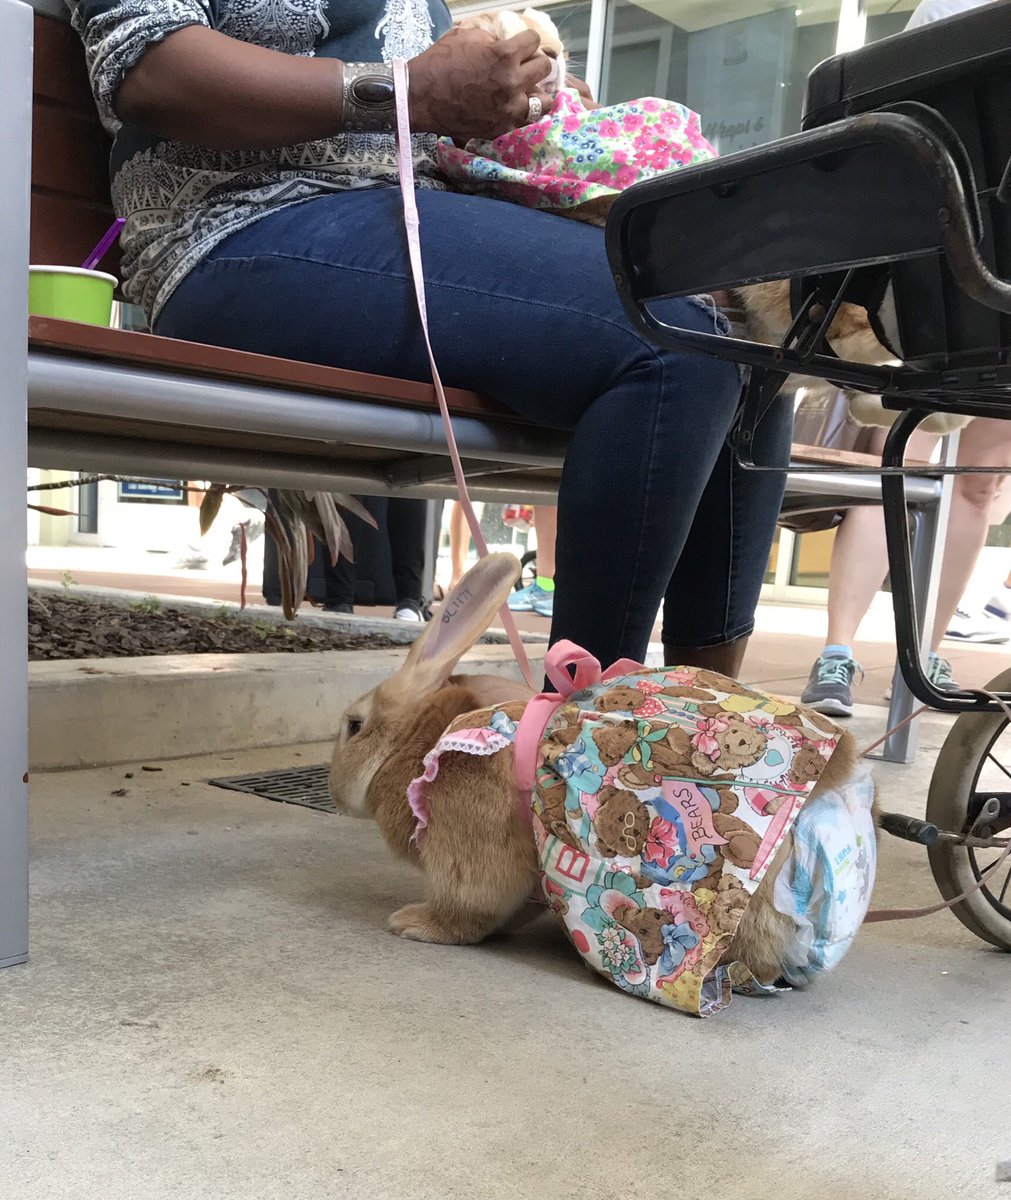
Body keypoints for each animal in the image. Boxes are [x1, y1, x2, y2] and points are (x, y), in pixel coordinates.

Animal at [329, 553, 872, 1003]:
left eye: (353, 726)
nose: (334, 794)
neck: (420, 741)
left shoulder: (467, 854)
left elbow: (468, 912)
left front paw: (411, 923)